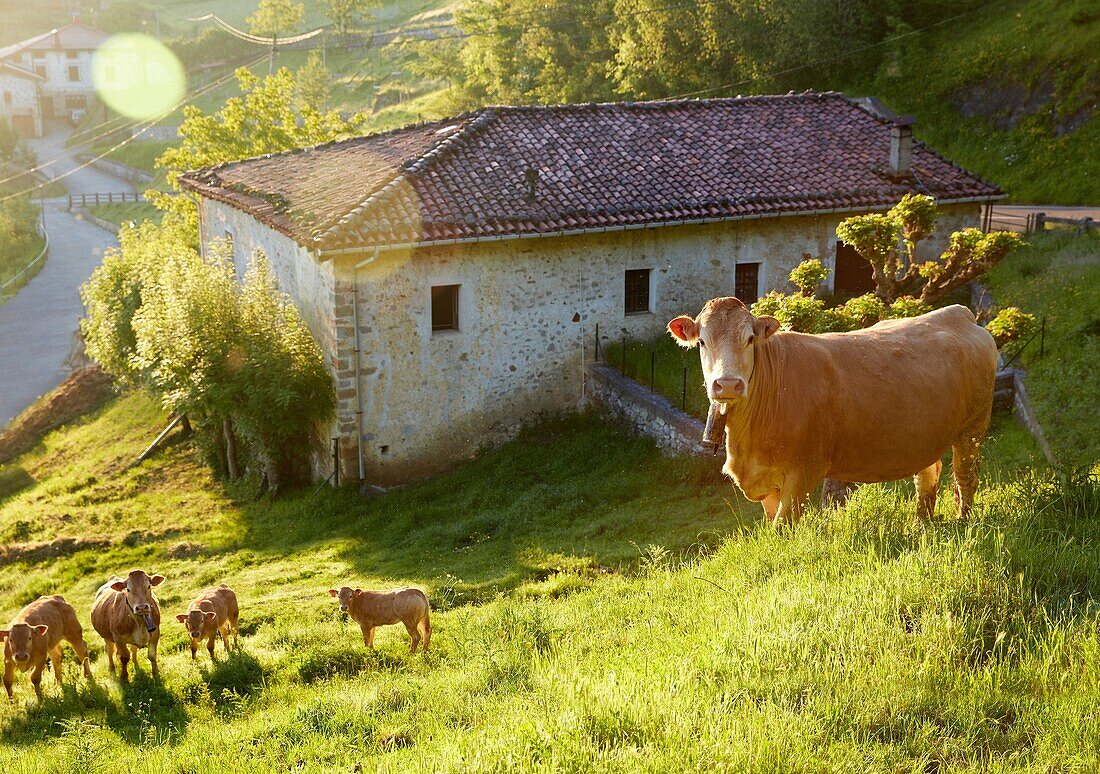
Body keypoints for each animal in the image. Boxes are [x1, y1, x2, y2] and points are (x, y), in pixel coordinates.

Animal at [664, 296, 1003, 525]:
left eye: (749, 339)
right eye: (702, 342)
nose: (728, 384)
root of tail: (958, 313)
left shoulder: (803, 473)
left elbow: (783, 527)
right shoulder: (766, 481)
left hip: (972, 428)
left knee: (965, 477)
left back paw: (962, 522)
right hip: (927, 435)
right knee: (928, 475)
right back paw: (920, 524)